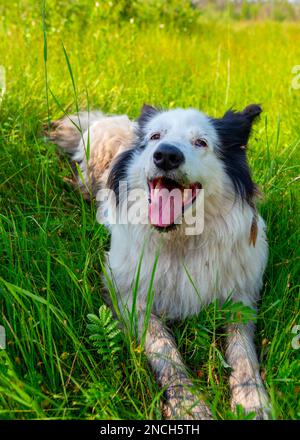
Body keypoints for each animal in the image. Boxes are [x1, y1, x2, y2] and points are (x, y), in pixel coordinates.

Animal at [48, 103, 270, 420]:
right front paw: (189, 405)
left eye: (201, 142)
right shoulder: (130, 296)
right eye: (155, 136)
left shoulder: (241, 296)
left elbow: (243, 351)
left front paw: (253, 401)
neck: (181, 240)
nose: (166, 155)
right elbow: (165, 350)